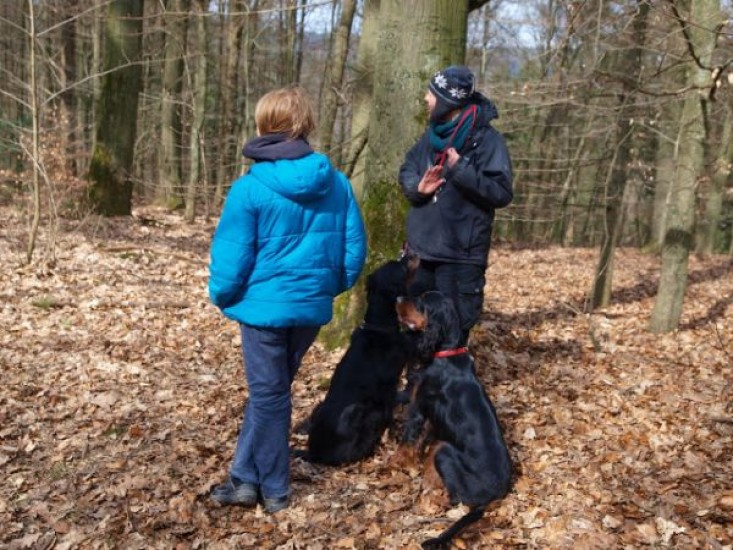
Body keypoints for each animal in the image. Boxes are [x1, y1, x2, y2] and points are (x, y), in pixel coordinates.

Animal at [396, 291, 512, 549]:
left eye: (421, 302)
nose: (397, 298)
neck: (447, 354)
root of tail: (495, 495)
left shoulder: (418, 408)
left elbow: (406, 443)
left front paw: (395, 466)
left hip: (444, 450)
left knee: (455, 498)